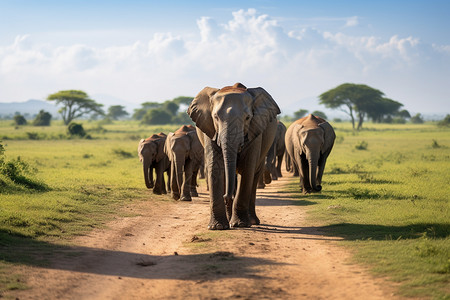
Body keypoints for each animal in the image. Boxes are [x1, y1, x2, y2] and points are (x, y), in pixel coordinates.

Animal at [187, 82, 280, 230]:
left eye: (247, 118)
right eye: (215, 117)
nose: (226, 196)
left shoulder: (255, 130)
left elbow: (247, 170)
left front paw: (240, 224)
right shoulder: (210, 128)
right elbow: (216, 168)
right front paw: (217, 227)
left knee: (254, 175)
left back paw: (251, 221)